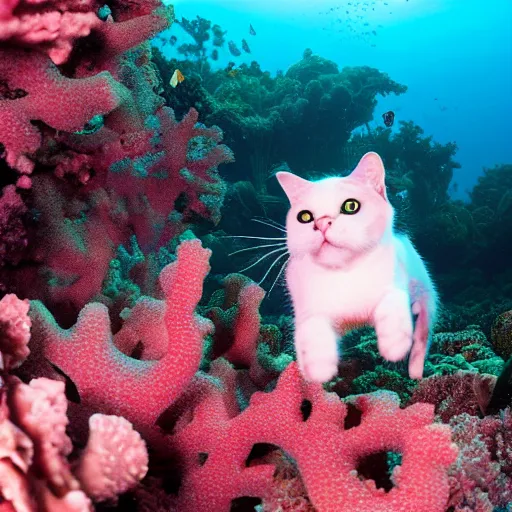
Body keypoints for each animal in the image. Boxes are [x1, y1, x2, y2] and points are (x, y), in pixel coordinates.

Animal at [278, 153, 438, 384]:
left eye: (350, 206)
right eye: (305, 216)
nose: (322, 223)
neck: (345, 273)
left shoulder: (394, 279)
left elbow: (391, 301)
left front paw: (394, 344)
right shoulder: (306, 305)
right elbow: (311, 327)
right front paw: (318, 368)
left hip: (426, 293)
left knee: (421, 336)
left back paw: (415, 372)